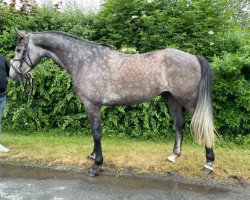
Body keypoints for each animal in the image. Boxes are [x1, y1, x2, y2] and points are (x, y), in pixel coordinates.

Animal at [10, 29, 215, 177]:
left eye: (19, 50)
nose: (12, 74)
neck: (84, 60)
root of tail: (194, 57)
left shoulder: (92, 105)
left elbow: (97, 133)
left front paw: (96, 165)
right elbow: (94, 133)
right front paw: (93, 155)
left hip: (189, 100)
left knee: (205, 127)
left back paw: (209, 163)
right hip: (170, 97)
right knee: (179, 124)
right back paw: (173, 156)